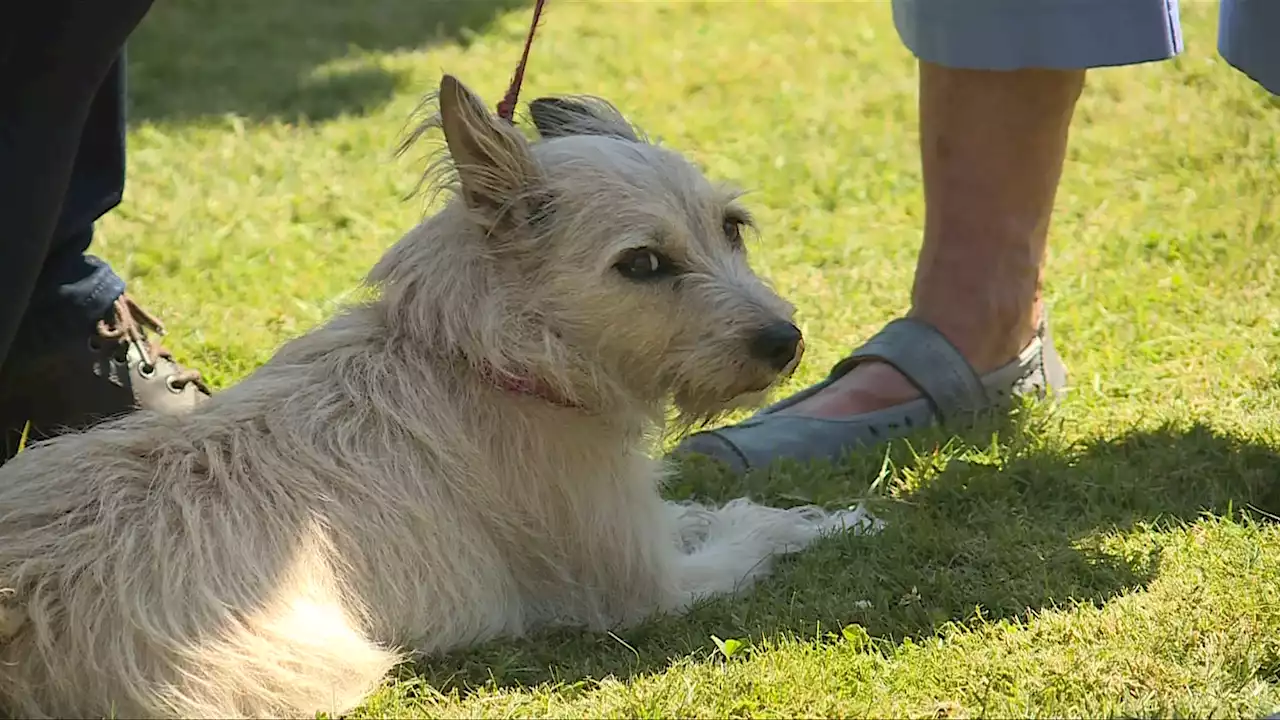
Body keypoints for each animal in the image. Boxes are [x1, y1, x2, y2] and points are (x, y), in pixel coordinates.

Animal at [0, 75, 875, 712]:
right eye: (643, 265)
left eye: (731, 228)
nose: (786, 342)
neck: (487, 356)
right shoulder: (648, 590)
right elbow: (749, 531)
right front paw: (830, 522)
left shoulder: (642, 521)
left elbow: (699, 510)